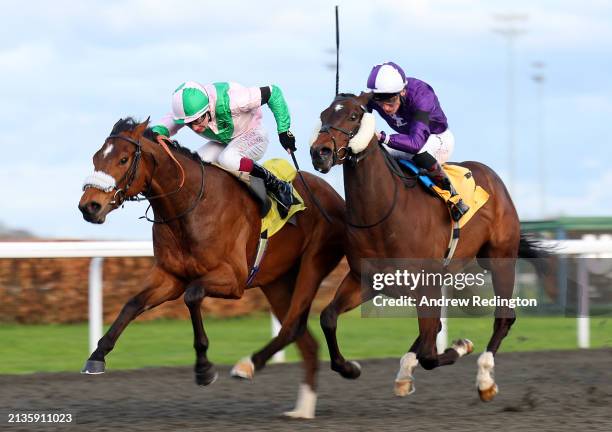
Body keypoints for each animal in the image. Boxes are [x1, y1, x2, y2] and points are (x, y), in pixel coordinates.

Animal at [77, 118, 346, 418]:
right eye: (96, 158)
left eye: (123, 159)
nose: (89, 206)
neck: (190, 205)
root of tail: (334, 195)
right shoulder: (169, 277)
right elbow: (132, 304)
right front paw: (97, 356)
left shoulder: (233, 279)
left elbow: (192, 296)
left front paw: (204, 368)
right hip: (276, 281)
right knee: (305, 340)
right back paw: (302, 410)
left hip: (313, 263)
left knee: (292, 327)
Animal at [308, 93, 548, 402]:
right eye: (323, 115)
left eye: (352, 116)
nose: (320, 152)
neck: (383, 214)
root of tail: (493, 178)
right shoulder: (365, 279)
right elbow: (328, 317)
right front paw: (350, 367)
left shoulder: (425, 284)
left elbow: (430, 355)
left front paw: (462, 346)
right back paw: (405, 372)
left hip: (500, 260)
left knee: (503, 319)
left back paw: (485, 380)